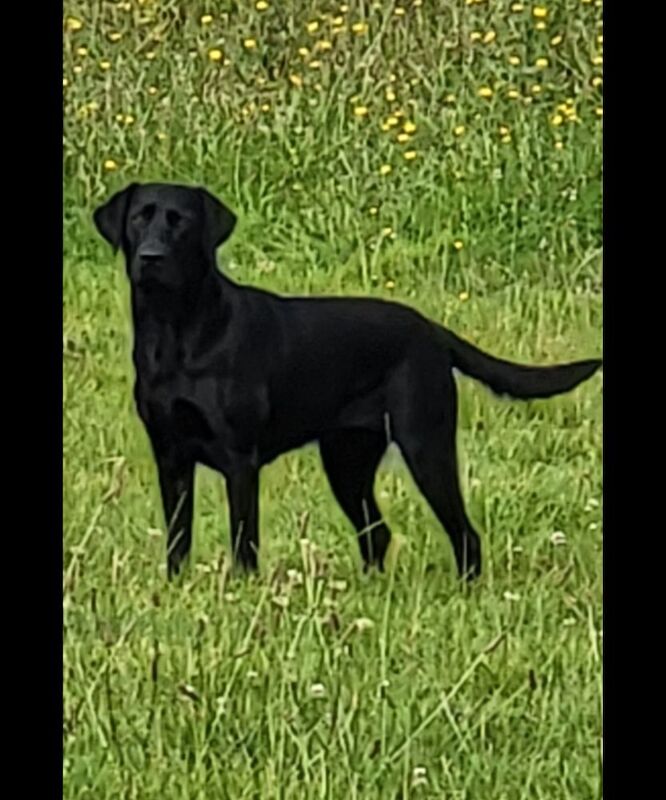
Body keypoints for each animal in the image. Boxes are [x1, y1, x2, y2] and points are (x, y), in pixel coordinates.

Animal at [94, 183, 600, 580]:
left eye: (180, 223)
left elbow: (244, 536)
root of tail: (430, 329)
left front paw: (241, 587)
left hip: (425, 446)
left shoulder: (239, 460)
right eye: (139, 219)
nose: (151, 258)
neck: (175, 334)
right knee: (377, 534)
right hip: (346, 462)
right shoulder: (170, 456)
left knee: (463, 533)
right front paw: (176, 585)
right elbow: (178, 536)